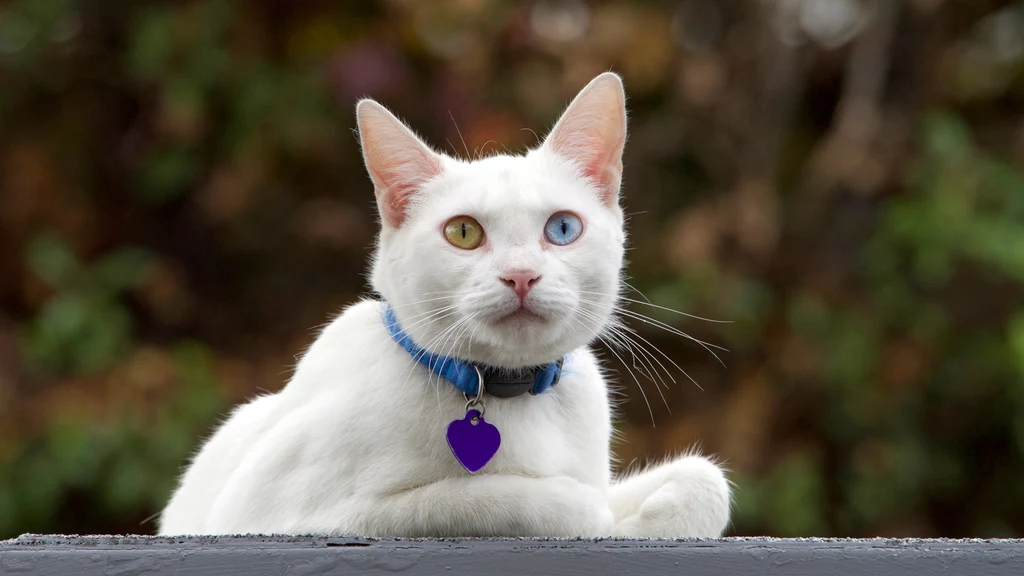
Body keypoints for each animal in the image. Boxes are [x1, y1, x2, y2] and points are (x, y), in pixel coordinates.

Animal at [157, 72, 729, 537]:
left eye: (563, 228)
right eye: (463, 232)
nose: (521, 275)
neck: (507, 394)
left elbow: (707, 480)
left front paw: (645, 518)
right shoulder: (275, 515)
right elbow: (467, 498)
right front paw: (588, 512)